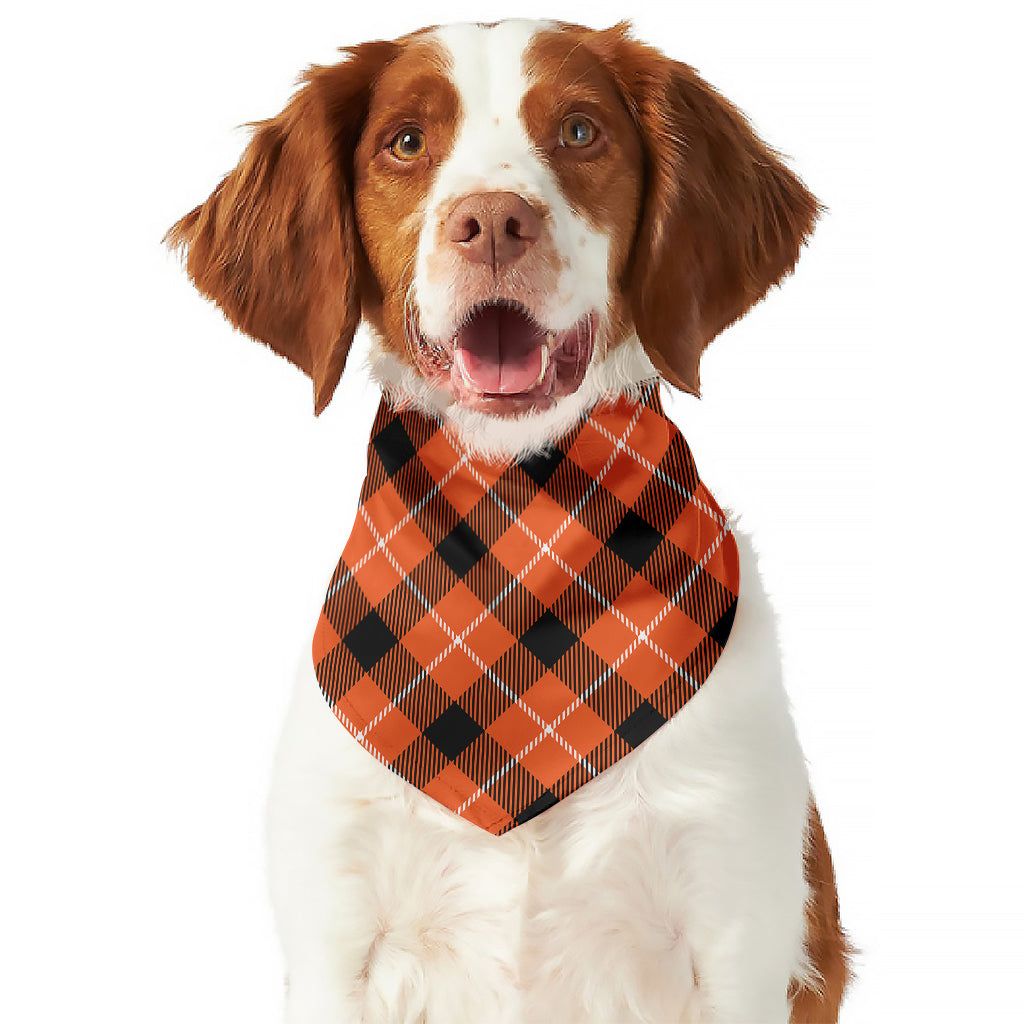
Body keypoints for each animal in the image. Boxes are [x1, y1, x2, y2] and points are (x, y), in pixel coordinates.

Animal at [167, 18, 851, 1024]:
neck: (512, 534)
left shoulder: (737, 920)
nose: (492, 221)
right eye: (406, 142)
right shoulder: (336, 928)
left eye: (580, 131)